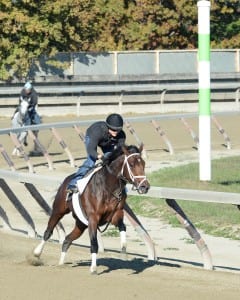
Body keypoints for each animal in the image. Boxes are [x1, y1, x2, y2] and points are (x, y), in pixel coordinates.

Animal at [33, 144, 150, 274]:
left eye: (143, 163)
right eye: (131, 163)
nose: (144, 186)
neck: (108, 187)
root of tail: (66, 180)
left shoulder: (116, 214)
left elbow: (122, 227)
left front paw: (124, 251)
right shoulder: (93, 218)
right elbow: (94, 243)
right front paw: (93, 268)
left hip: (81, 224)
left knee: (67, 239)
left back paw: (61, 264)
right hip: (58, 211)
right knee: (48, 232)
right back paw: (37, 253)